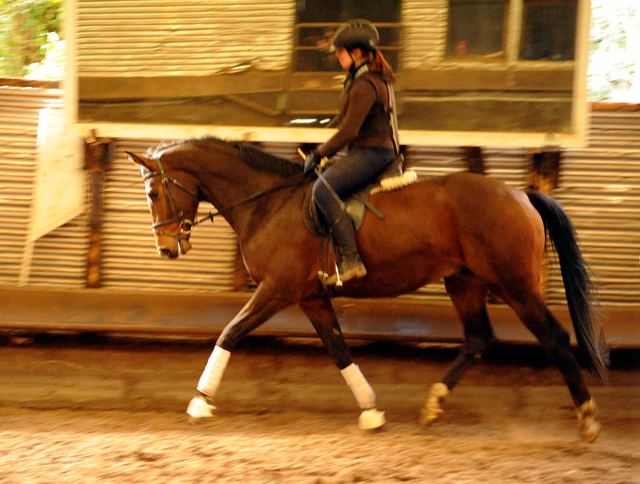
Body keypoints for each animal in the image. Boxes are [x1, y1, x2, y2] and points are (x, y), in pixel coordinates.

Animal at [126, 136, 608, 442]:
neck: (267, 202)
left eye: (152, 193)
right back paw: (433, 405)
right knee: (477, 339)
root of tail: (521, 195)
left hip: (514, 285)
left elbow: (230, 332)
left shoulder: (277, 289)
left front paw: (200, 402)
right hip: (464, 280)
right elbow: (339, 350)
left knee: (554, 337)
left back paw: (587, 419)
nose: (166, 248)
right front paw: (373, 412)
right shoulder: (310, 297)